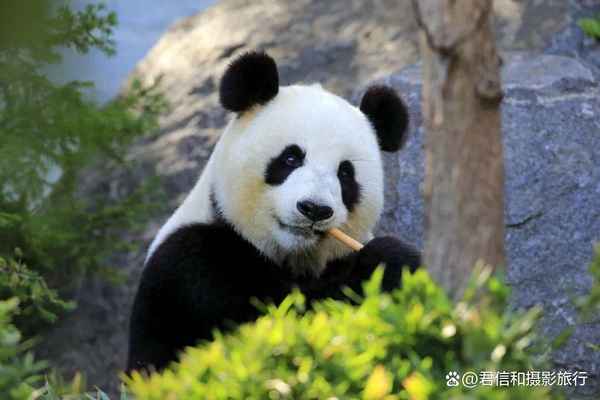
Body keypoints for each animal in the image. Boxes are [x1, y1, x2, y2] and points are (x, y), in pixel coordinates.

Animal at [126, 51, 420, 374]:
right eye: (291, 158)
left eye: (345, 174)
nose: (314, 209)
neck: (291, 257)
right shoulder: (193, 266)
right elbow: (275, 325)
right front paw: (388, 261)